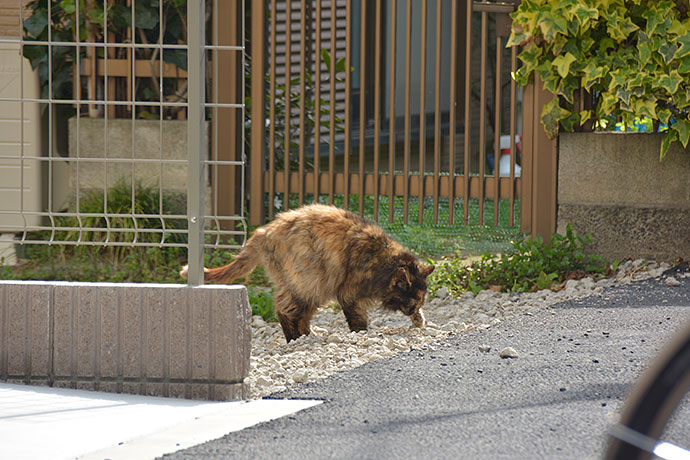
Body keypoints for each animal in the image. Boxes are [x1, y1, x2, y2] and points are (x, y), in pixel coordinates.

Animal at [180, 205, 432, 342]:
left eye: (420, 302)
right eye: (411, 303)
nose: (414, 311)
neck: (383, 261)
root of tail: (265, 230)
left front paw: (420, 322)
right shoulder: (349, 293)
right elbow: (357, 319)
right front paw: (361, 334)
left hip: (312, 288)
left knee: (300, 314)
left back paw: (308, 336)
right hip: (311, 282)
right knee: (284, 310)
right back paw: (296, 339)